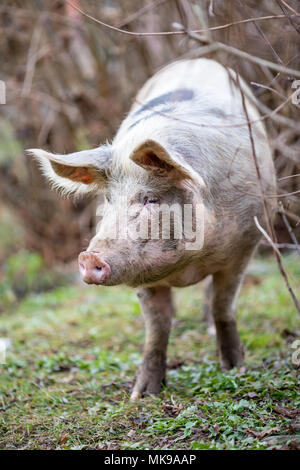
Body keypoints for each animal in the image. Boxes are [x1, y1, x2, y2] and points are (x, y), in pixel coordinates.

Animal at [28, 57, 276, 398]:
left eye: (150, 199)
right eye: (109, 198)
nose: (89, 257)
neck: (190, 265)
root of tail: (196, 59)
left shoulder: (244, 245)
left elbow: (224, 306)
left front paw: (235, 368)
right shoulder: (141, 271)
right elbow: (157, 328)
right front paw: (142, 395)